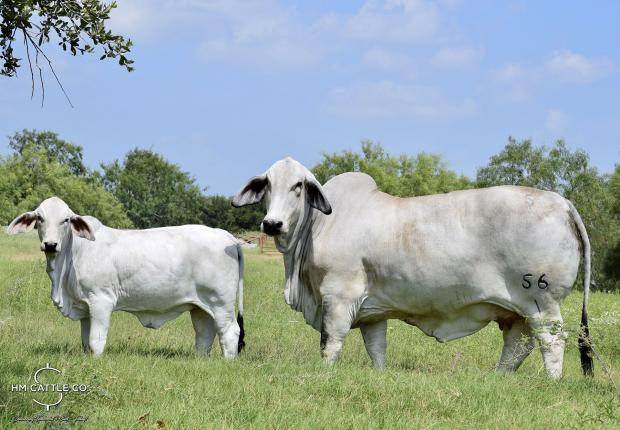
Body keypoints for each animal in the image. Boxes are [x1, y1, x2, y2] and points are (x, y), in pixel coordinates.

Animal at [7, 197, 245, 358]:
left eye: (65, 220)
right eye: (39, 218)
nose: (50, 244)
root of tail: (227, 236)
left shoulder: (101, 300)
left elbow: (96, 340)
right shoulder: (85, 307)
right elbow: (85, 341)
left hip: (221, 302)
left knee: (230, 332)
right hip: (200, 306)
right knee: (205, 335)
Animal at [235, 157, 592, 376]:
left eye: (298, 186)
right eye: (267, 184)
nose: (272, 224)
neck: (317, 226)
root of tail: (561, 201)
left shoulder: (338, 296)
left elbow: (330, 344)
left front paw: (325, 373)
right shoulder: (373, 311)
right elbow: (376, 348)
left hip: (543, 302)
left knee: (551, 342)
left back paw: (551, 381)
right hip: (517, 310)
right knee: (518, 345)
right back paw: (498, 377)